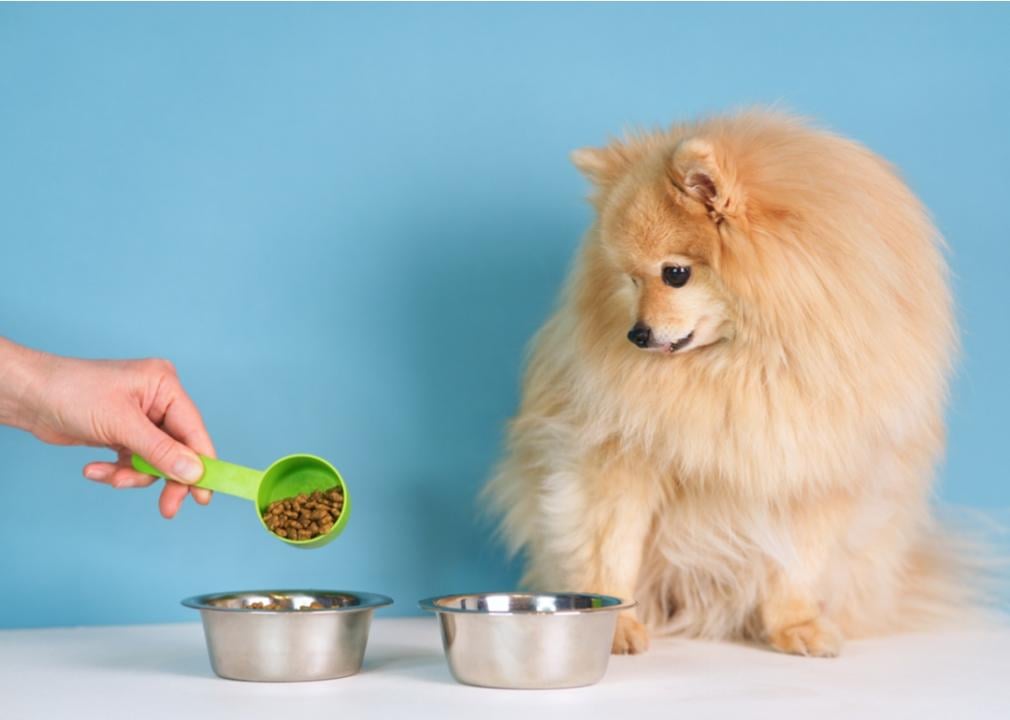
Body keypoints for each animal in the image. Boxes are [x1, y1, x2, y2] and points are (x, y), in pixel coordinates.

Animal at [488, 109, 977, 654]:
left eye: (674, 274)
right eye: (630, 279)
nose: (636, 334)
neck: (749, 361)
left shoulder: (815, 469)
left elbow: (798, 566)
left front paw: (795, 625)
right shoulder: (617, 457)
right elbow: (611, 550)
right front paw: (615, 625)